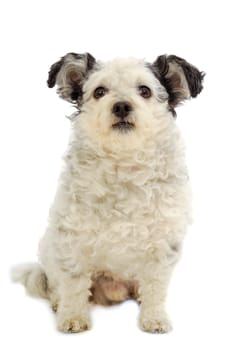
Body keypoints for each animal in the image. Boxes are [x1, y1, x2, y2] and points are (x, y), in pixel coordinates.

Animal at [12, 52, 204, 334]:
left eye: (144, 90)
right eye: (100, 91)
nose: (122, 106)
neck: (123, 163)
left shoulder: (163, 243)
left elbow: (156, 287)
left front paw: (154, 317)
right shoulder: (72, 239)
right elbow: (73, 283)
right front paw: (73, 316)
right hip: (49, 250)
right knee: (57, 283)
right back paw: (59, 302)